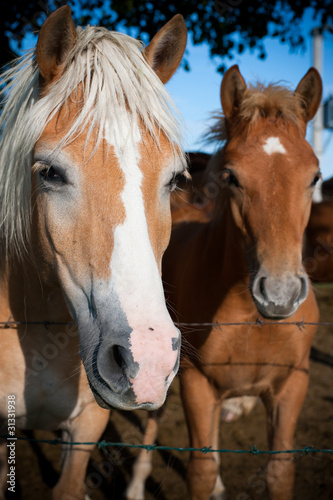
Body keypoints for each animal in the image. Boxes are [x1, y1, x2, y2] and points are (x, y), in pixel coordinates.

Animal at [126, 66, 320, 500]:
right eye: (231, 176)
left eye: (315, 177)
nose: (279, 294)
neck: (251, 319)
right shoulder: (198, 385)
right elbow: (200, 468)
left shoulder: (292, 386)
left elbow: (279, 471)